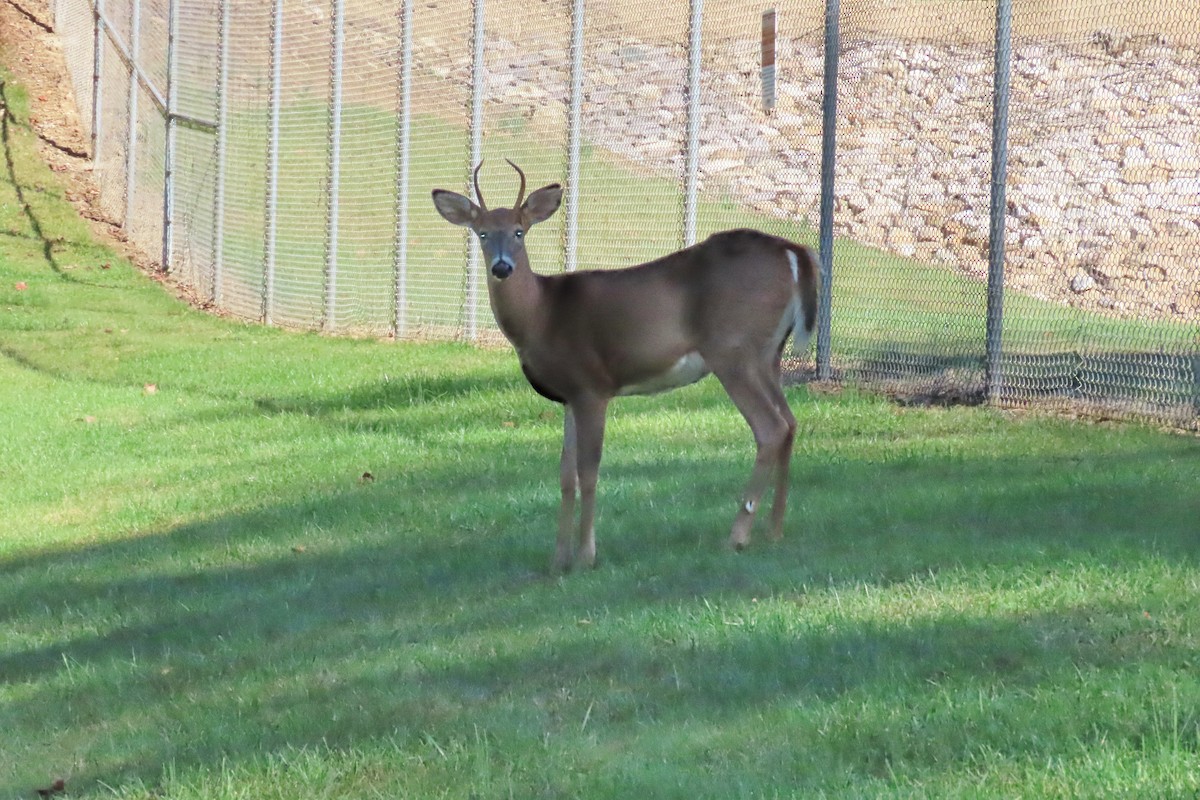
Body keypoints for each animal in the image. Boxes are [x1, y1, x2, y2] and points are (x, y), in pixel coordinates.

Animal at [432, 160, 818, 574]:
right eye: (483, 233)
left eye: (519, 231)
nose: (502, 267)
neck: (542, 314)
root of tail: (793, 251)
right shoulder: (569, 396)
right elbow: (565, 475)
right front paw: (558, 561)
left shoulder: (591, 386)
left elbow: (588, 472)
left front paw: (586, 556)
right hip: (769, 354)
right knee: (790, 421)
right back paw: (774, 530)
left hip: (734, 351)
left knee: (771, 427)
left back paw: (738, 537)